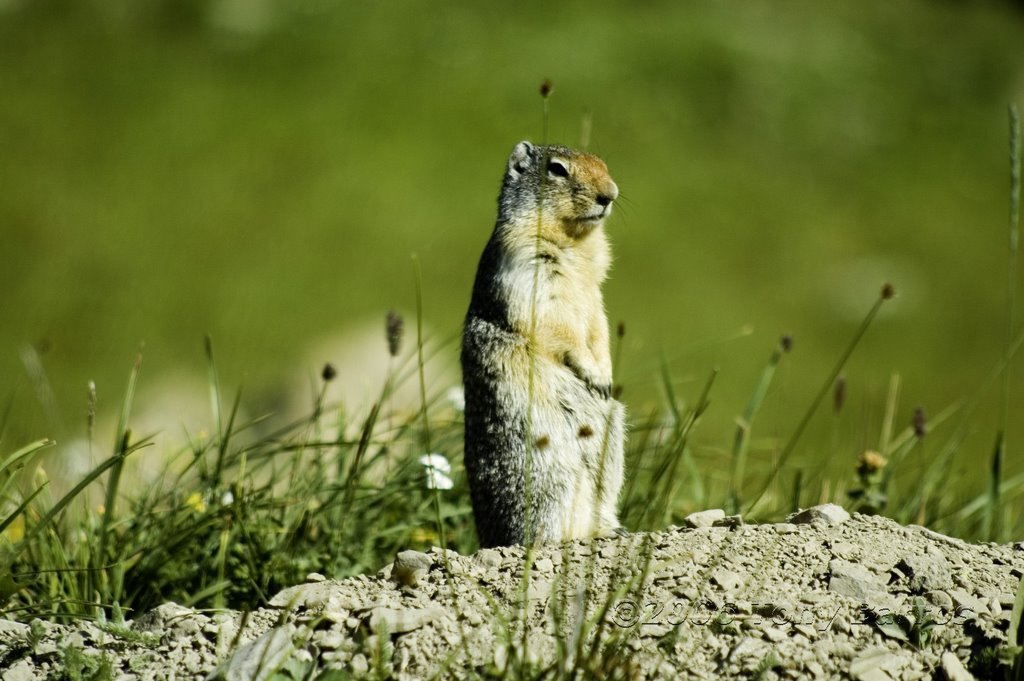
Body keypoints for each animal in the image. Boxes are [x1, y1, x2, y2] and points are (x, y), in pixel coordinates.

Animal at [462, 139, 622, 548]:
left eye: (603, 164)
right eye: (557, 169)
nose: (609, 195)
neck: (576, 243)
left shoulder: (595, 294)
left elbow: (597, 325)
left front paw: (605, 374)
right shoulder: (529, 266)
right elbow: (555, 325)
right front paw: (594, 374)